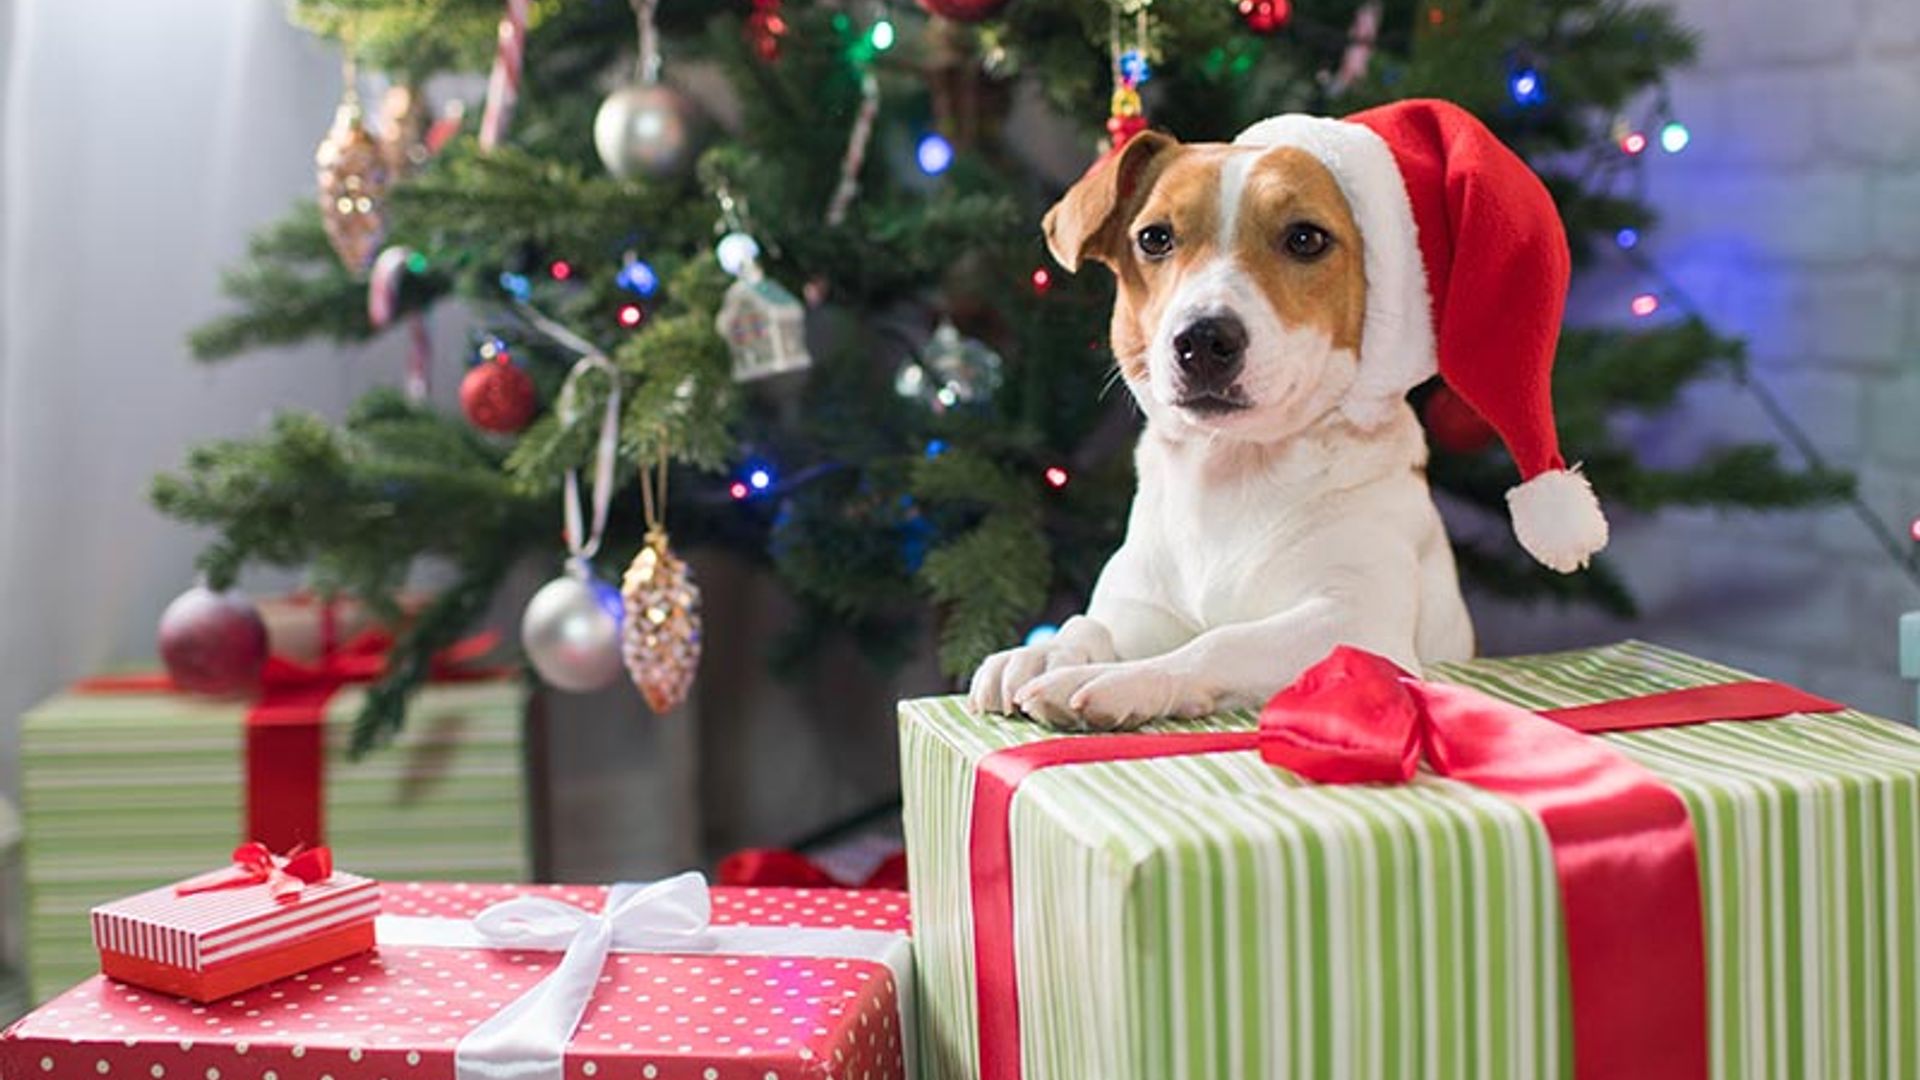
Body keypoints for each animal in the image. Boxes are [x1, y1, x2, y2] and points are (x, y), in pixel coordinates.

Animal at [967, 100, 1612, 726]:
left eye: (1305, 239)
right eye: (1153, 238)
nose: (1203, 339)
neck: (1230, 478)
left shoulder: (1355, 622)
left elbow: (1220, 642)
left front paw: (1121, 682)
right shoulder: (1138, 609)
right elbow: (1089, 624)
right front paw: (1045, 652)